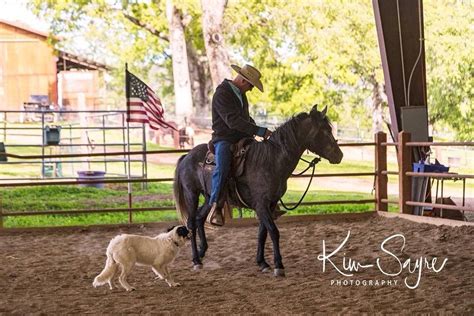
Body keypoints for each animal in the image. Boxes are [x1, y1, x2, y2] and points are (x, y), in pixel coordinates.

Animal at [172, 105, 342, 276]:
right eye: (325, 131)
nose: (339, 155)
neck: (271, 160)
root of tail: (187, 156)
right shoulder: (261, 204)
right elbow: (273, 231)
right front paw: (278, 265)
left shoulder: (270, 205)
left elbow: (262, 233)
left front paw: (262, 263)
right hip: (191, 194)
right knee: (191, 223)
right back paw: (196, 260)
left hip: (209, 197)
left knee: (200, 218)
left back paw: (202, 253)